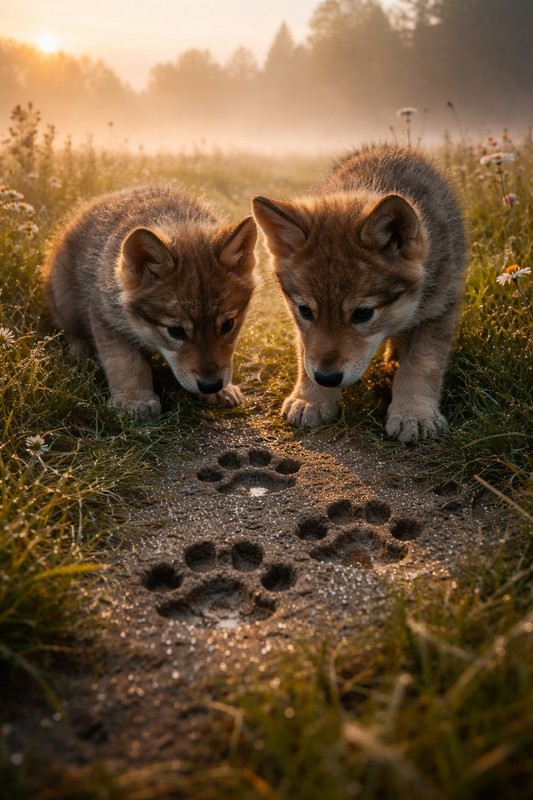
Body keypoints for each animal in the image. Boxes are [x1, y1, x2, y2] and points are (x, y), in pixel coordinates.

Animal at [43, 184, 257, 420]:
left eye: (228, 325)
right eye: (175, 331)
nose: (212, 386)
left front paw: (224, 391)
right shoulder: (105, 316)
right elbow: (126, 362)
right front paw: (134, 400)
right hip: (64, 298)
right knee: (71, 332)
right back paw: (81, 355)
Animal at [252, 144, 467, 443]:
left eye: (363, 313)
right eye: (305, 311)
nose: (327, 377)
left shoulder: (438, 312)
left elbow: (421, 366)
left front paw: (414, 415)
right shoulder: (304, 331)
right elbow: (306, 354)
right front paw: (312, 400)